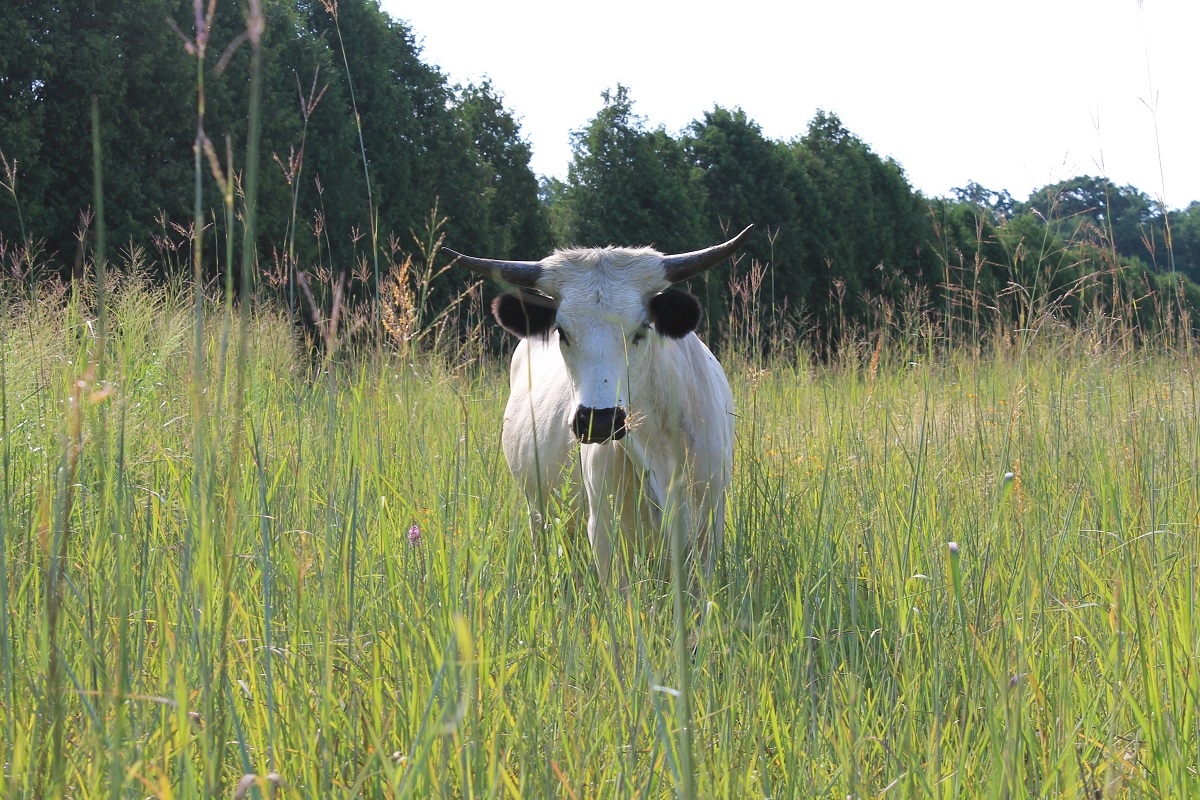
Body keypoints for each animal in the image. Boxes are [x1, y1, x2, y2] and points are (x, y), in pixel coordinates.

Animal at [451, 225, 748, 587]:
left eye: (642, 328)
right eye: (561, 331)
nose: (600, 421)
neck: (656, 445)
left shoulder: (707, 523)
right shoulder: (605, 531)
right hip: (539, 510)